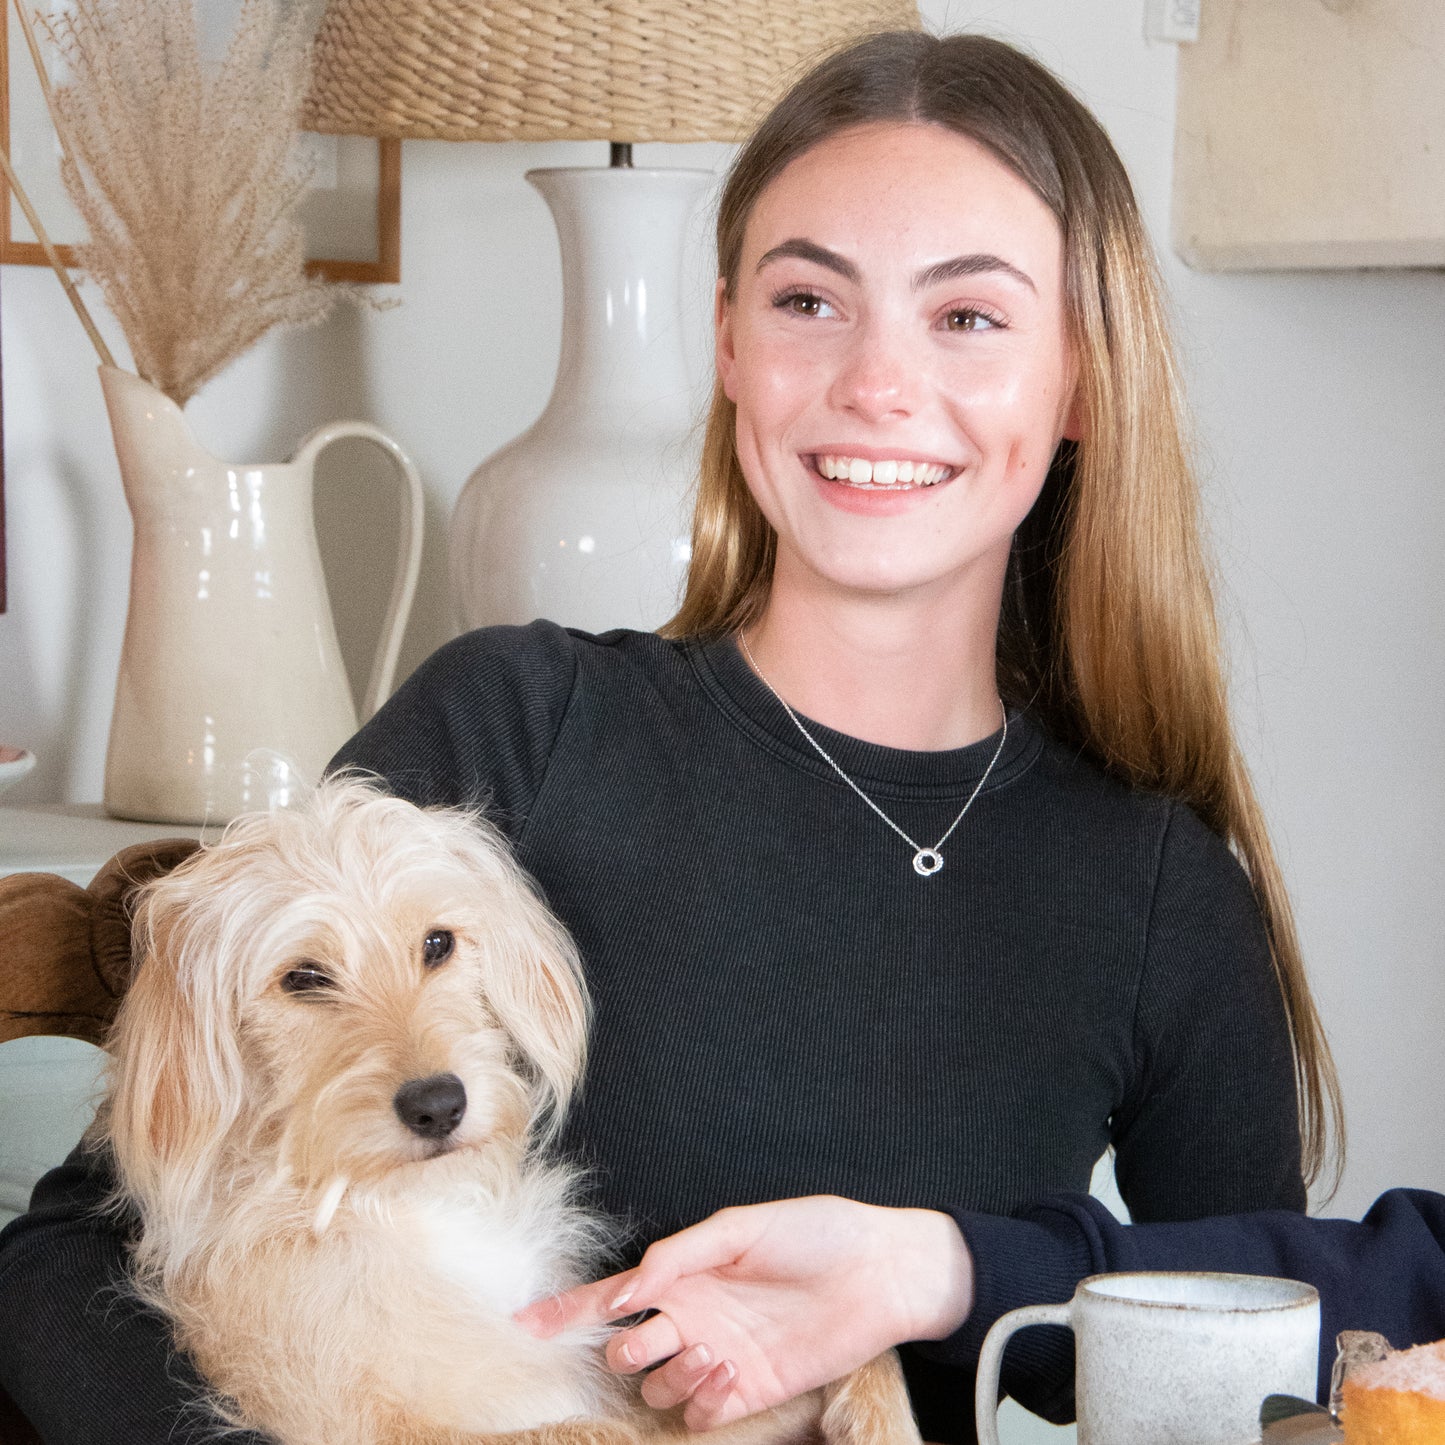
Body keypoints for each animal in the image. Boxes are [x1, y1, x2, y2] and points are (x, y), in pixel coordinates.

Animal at [101, 780, 919, 1445]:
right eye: (302, 978)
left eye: (437, 943)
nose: (438, 1105)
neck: (415, 1207)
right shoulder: (366, 1426)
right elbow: (595, 1432)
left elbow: (865, 1353)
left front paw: (882, 1416)